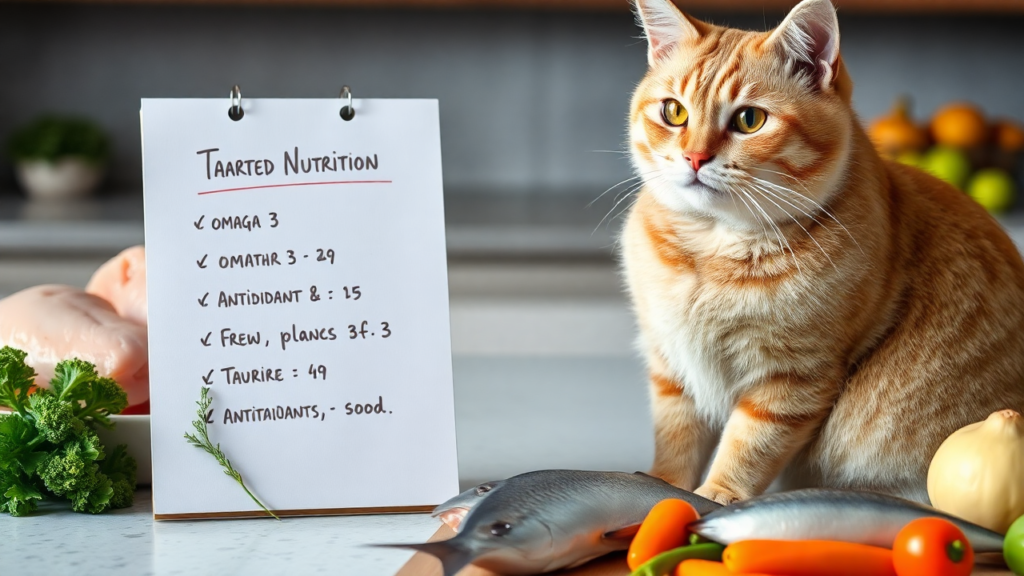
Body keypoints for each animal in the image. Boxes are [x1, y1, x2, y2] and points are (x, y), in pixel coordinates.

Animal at [618, 0, 1024, 502]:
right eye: (673, 112)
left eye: (749, 120)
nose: (694, 158)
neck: (707, 251)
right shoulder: (671, 364)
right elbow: (677, 439)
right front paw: (664, 485)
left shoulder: (794, 377)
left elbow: (748, 444)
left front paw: (719, 494)